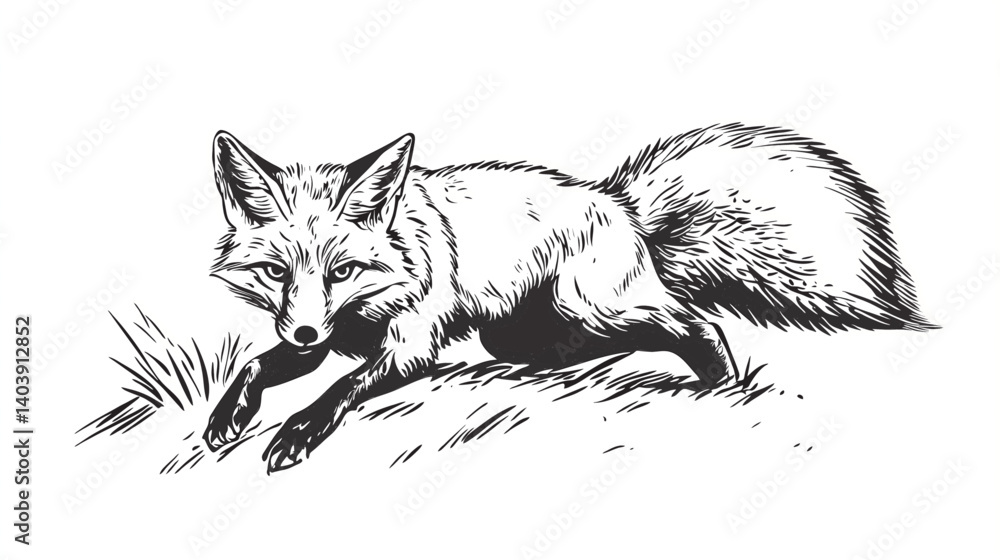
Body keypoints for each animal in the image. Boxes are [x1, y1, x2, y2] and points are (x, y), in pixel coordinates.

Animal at [202, 123, 934, 472]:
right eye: (275, 273)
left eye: (344, 270)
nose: (305, 331)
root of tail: (621, 203)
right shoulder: (322, 337)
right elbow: (260, 364)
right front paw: (227, 417)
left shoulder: (411, 344)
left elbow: (341, 389)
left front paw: (299, 431)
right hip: (526, 328)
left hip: (596, 307)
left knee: (694, 323)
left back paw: (722, 383)